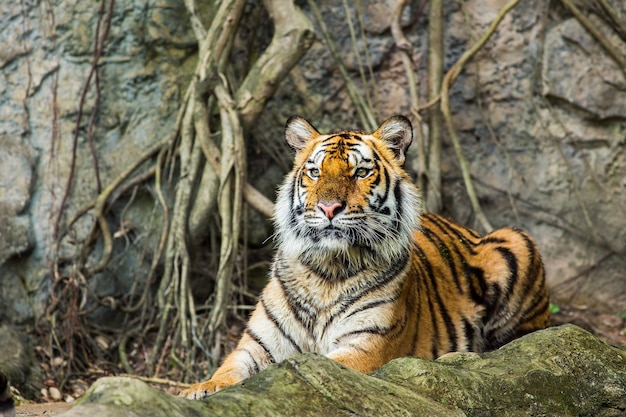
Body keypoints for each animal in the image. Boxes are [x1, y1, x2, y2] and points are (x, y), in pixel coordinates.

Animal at [178, 115, 548, 398]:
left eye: (360, 173)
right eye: (315, 172)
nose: (329, 207)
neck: (325, 272)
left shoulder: (365, 346)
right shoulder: (258, 345)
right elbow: (228, 371)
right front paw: (198, 389)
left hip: (516, 241)